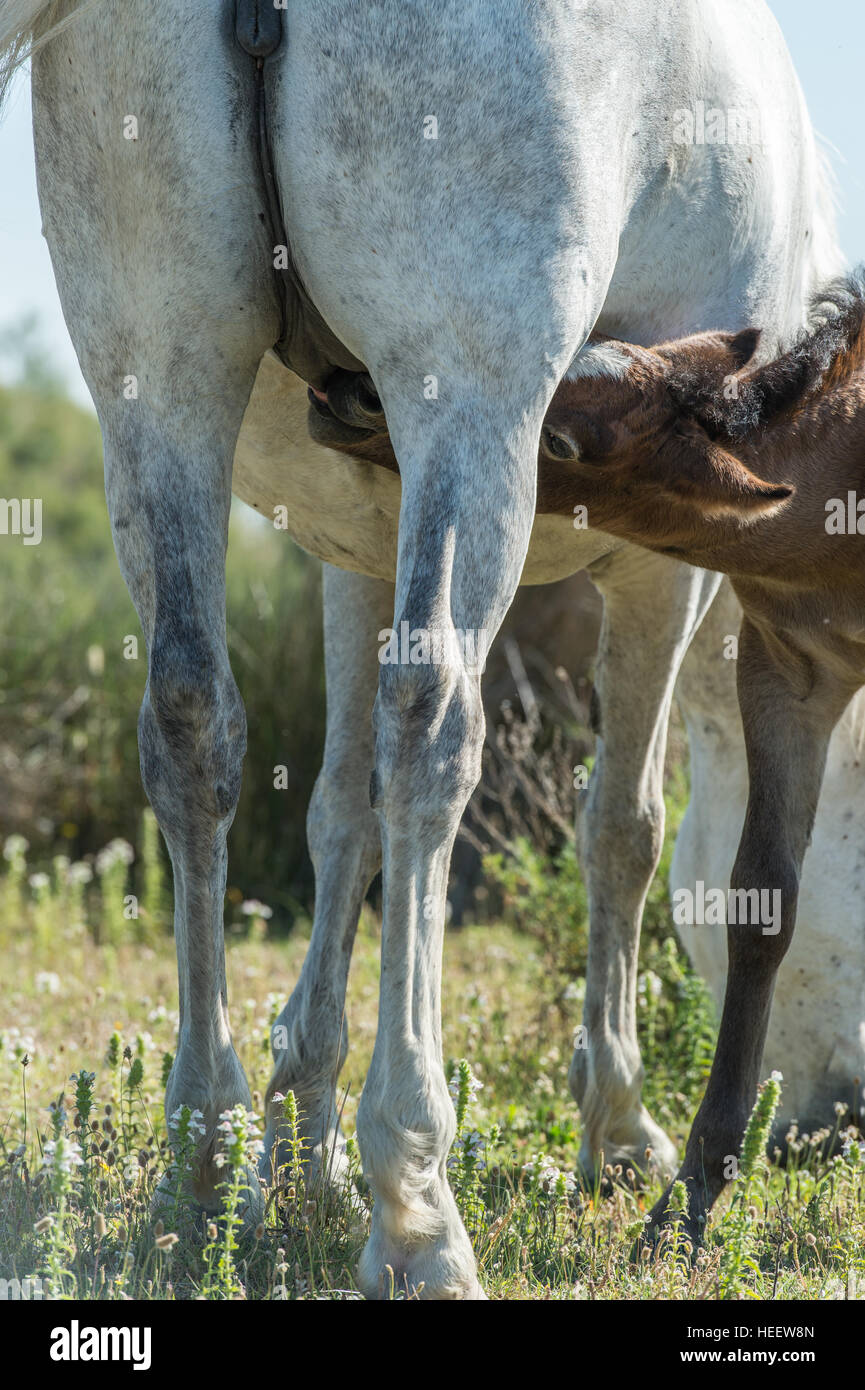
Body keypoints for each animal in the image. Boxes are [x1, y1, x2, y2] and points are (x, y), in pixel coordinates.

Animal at [1, 0, 845, 1295]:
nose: (834, 1119)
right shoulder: (668, 568)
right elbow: (625, 828)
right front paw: (616, 1128)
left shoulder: (354, 547)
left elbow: (337, 812)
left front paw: (301, 1133)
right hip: (468, 398)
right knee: (433, 730)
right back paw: (415, 1201)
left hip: (162, 389)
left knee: (190, 722)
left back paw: (206, 1159)